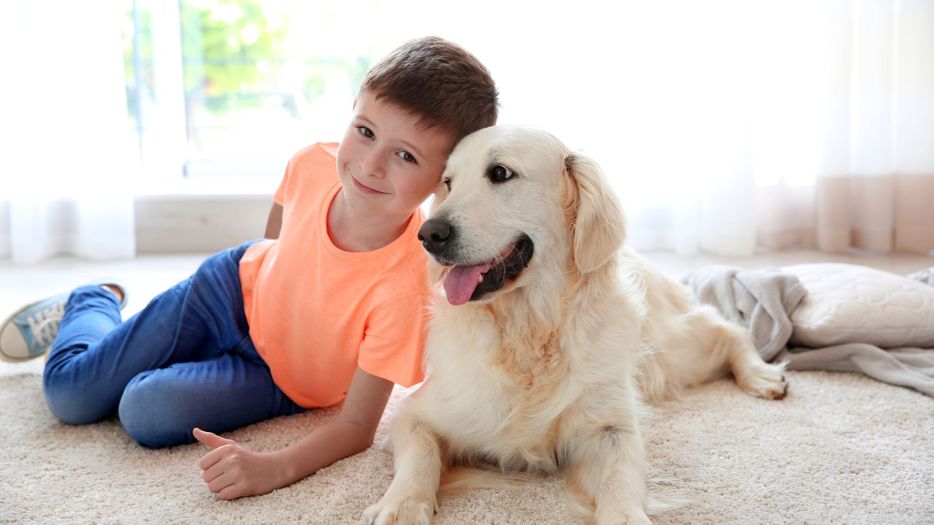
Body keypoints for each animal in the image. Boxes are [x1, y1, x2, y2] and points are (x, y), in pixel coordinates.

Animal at [362, 125, 788, 520]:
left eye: (500, 173)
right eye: (448, 183)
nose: (429, 234)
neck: (529, 330)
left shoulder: (610, 428)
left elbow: (620, 477)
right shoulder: (417, 413)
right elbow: (421, 455)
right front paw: (400, 505)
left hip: (671, 351)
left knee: (725, 327)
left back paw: (762, 375)